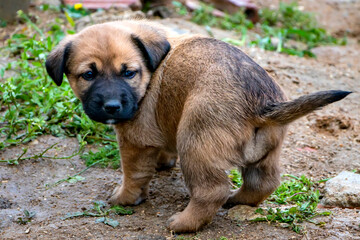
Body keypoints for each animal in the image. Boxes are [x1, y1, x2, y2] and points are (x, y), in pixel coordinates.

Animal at [45, 20, 352, 232]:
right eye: (88, 75)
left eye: (129, 72)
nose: (111, 106)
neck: (150, 69)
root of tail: (262, 106)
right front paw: (163, 163)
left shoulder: (135, 139)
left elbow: (133, 174)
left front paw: (124, 198)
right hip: (267, 151)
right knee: (263, 182)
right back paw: (239, 200)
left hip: (195, 141)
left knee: (211, 191)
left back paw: (183, 223)